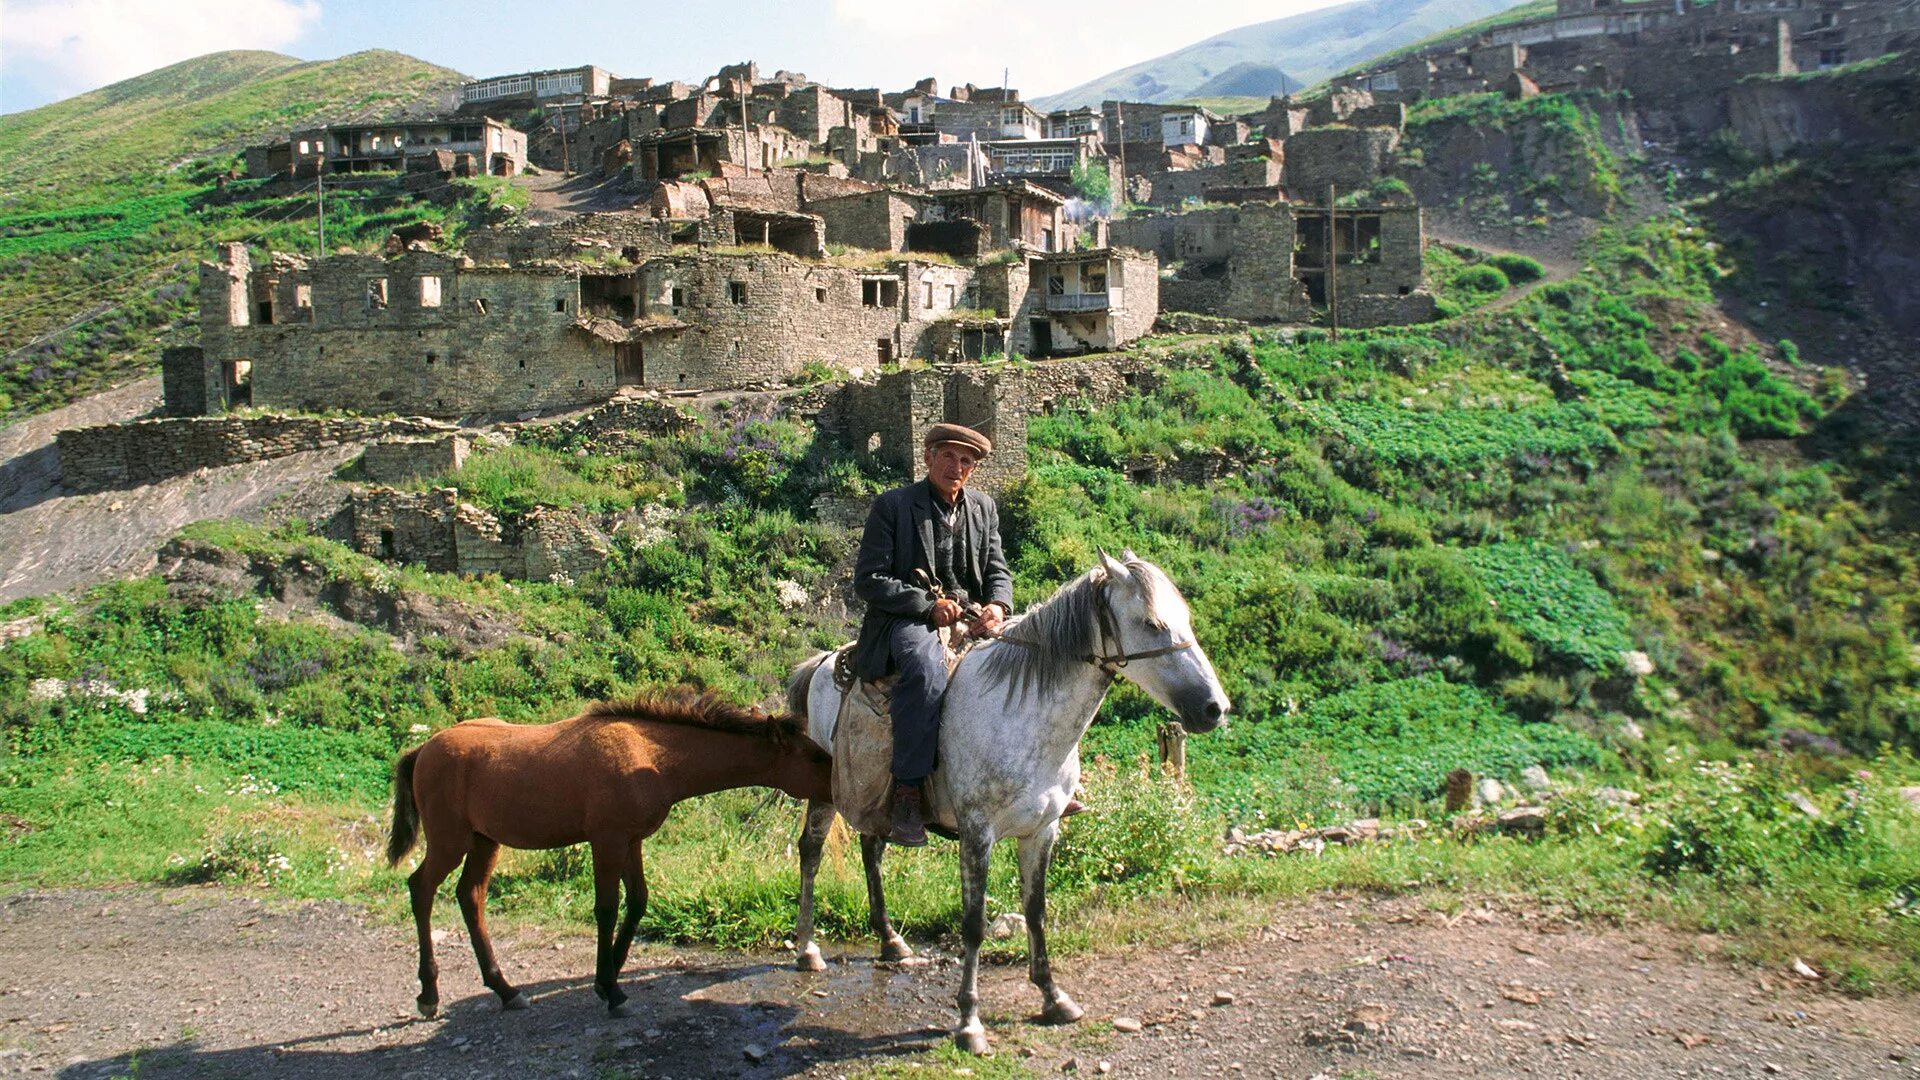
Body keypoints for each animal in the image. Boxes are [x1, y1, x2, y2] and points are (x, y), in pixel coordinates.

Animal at [385, 691, 829, 1014]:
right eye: (813, 755)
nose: (837, 782)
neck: (650, 756)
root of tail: (422, 749)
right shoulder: (607, 840)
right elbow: (607, 908)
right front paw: (611, 990)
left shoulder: (631, 841)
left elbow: (637, 902)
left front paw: (608, 976)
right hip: (450, 840)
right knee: (421, 889)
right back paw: (429, 995)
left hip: (484, 840)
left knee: (470, 896)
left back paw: (505, 989)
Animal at [783, 549, 1221, 1045]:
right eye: (1150, 623)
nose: (1214, 708)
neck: (1024, 715)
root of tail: (824, 662)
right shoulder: (978, 833)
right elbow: (974, 923)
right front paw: (969, 1020)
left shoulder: (1042, 832)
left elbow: (1035, 911)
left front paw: (1053, 997)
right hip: (824, 790)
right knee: (811, 852)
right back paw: (808, 948)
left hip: (877, 796)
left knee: (871, 849)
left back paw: (890, 941)